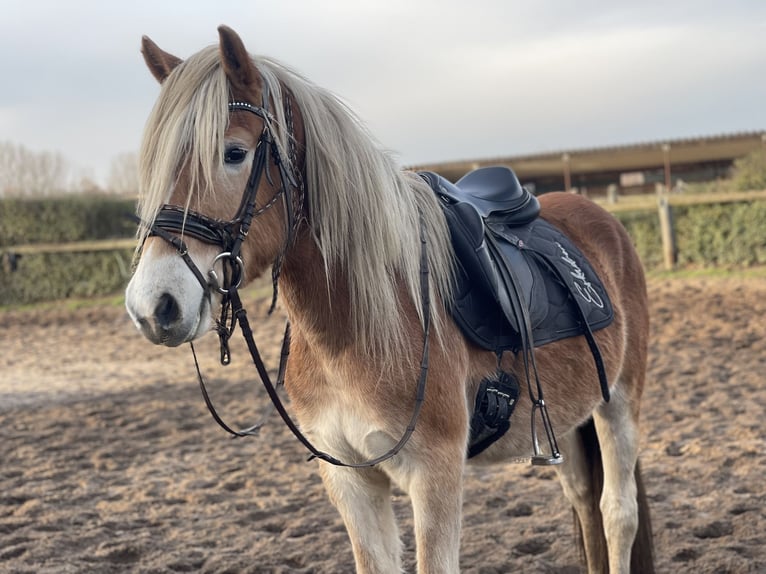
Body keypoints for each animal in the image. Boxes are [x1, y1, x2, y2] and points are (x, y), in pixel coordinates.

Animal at [125, 26, 654, 574]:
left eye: (233, 153)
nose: (153, 305)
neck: (360, 326)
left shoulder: (435, 474)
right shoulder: (350, 481)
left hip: (619, 400)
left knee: (617, 513)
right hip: (566, 421)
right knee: (584, 503)